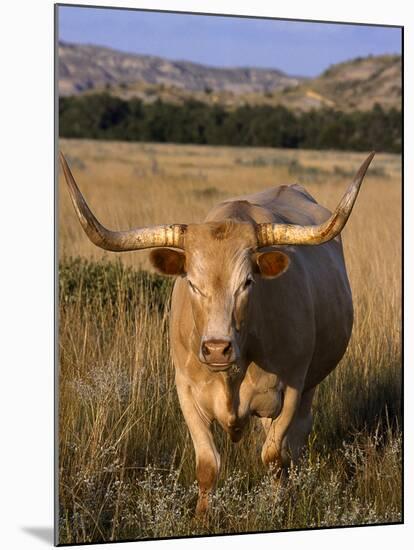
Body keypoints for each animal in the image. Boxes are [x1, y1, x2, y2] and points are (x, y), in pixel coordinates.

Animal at [60, 151, 376, 516]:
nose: (215, 349)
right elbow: (208, 465)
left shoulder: (293, 388)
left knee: (296, 438)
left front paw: (276, 506)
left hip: (311, 384)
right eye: (192, 283)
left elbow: (274, 456)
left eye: (247, 282)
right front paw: (201, 518)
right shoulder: (186, 392)